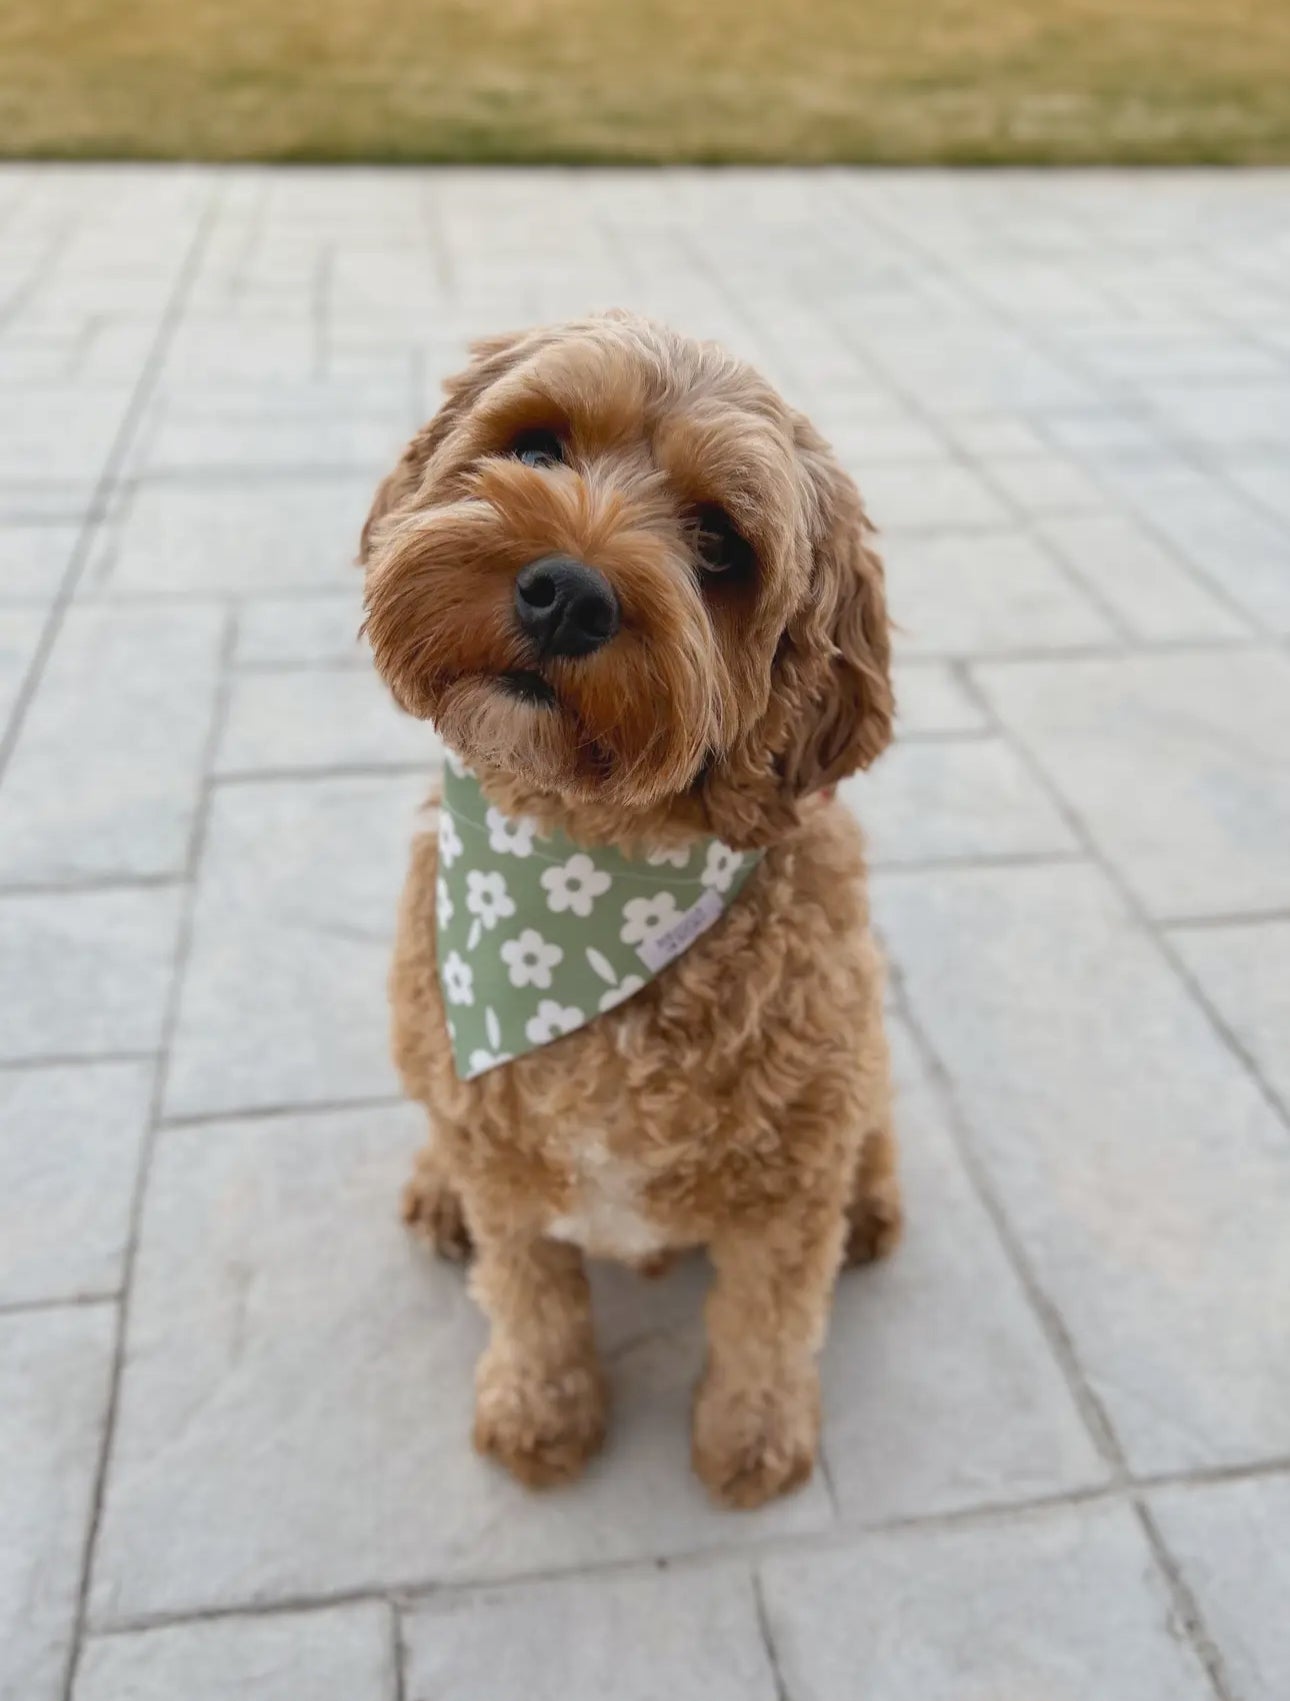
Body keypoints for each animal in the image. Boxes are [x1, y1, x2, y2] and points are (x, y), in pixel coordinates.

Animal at [359, 312, 905, 1510]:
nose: (568, 593)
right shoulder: (506, 1164)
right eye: (537, 446)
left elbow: (765, 1325)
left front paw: (753, 1441)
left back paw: (876, 1199)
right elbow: (534, 1299)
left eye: (721, 545)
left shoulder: (788, 1190)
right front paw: (541, 1413)